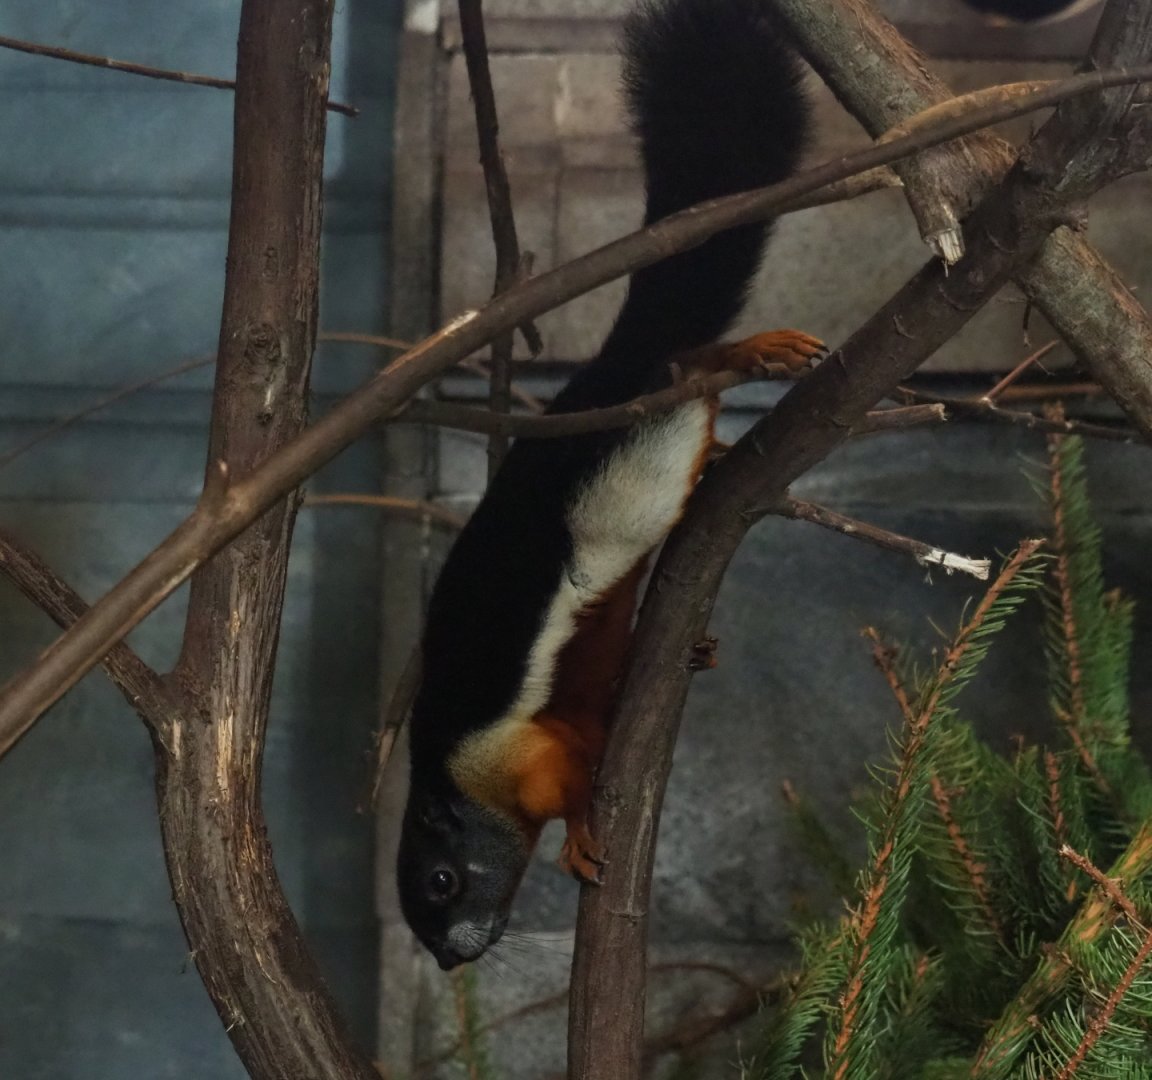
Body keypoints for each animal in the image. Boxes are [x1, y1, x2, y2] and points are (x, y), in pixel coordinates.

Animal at [397, 0, 819, 970]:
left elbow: (575, 779)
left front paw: (585, 832)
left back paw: (748, 356)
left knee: (684, 366)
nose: (448, 958)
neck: (452, 780)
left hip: (624, 475)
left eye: (440, 881)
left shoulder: (515, 755)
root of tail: (609, 372)